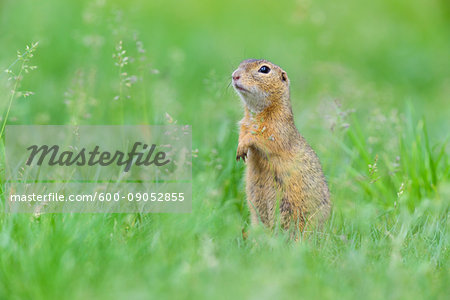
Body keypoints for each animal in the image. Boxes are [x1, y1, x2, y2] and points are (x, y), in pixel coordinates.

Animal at [232, 58, 330, 234]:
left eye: (264, 69)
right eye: (241, 64)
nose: (234, 75)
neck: (256, 112)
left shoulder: (277, 128)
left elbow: (262, 139)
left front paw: (243, 146)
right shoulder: (244, 125)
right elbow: (243, 133)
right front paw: (239, 148)